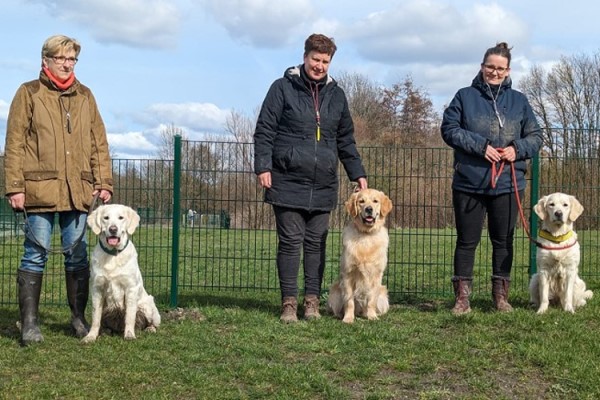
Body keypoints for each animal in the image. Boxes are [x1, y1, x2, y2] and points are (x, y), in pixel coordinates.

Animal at [83, 205, 162, 342]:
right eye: (106, 218)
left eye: (121, 217)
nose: (113, 229)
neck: (113, 254)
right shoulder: (97, 288)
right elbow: (95, 317)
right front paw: (91, 336)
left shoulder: (130, 288)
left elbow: (129, 316)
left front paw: (129, 334)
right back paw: (105, 331)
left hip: (148, 306)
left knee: (151, 322)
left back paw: (150, 329)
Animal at [328, 189, 394, 324]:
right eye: (361, 201)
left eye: (375, 201)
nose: (369, 209)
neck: (366, 235)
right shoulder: (348, 274)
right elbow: (349, 302)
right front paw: (348, 318)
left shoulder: (376, 275)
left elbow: (371, 299)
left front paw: (372, 316)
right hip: (334, 291)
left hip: (383, 294)